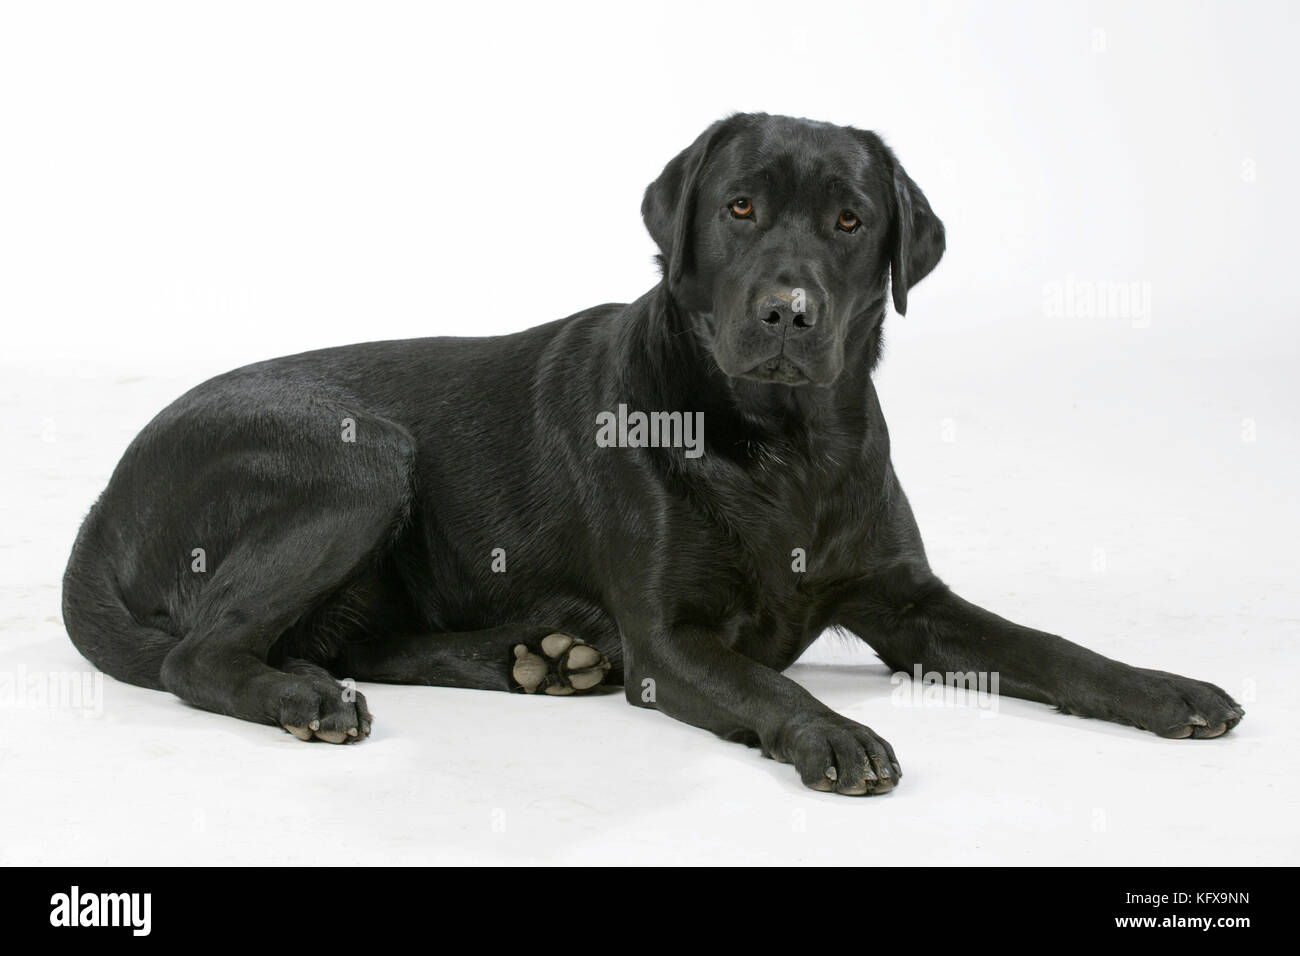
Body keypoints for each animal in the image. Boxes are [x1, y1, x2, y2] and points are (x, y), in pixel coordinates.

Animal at [65, 111, 1242, 796]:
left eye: (851, 220)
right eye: (739, 206)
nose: (788, 311)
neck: (784, 447)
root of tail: (100, 504)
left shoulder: (912, 603)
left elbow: (1051, 647)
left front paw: (1164, 688)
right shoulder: (671, 640)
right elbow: (766, 685)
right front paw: (833, 732)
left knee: (353, 640)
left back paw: (533, 659)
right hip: (363, 458)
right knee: (200, 655)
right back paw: (305, 699)